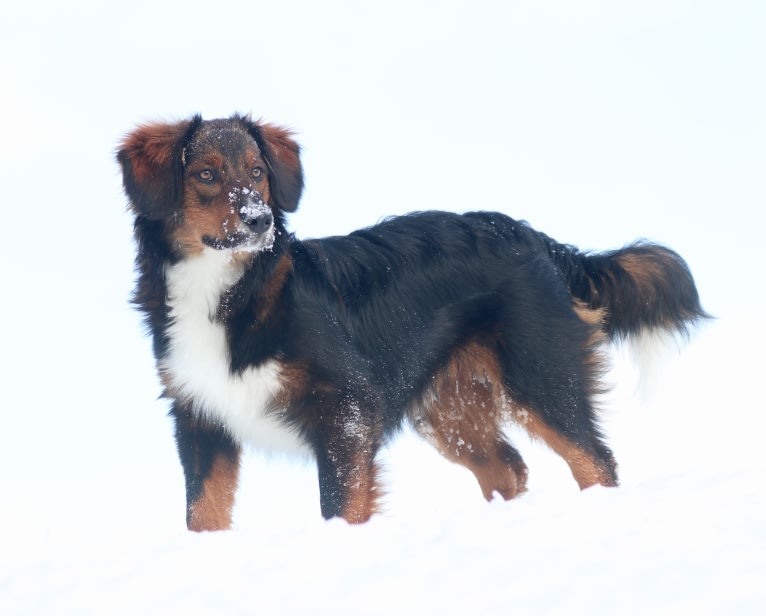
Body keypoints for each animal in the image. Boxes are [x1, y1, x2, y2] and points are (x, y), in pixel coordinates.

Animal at [117, 114, 712, 528]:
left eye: (258, 173)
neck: (232, 291)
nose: (260, 221)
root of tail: (533, 237)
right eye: (206, 174)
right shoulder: (199, 417)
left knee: (596, 461)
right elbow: (203, 515)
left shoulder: (347, 410)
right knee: (509, 467)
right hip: (450, 410)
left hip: (542, 377)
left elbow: (340, 507)